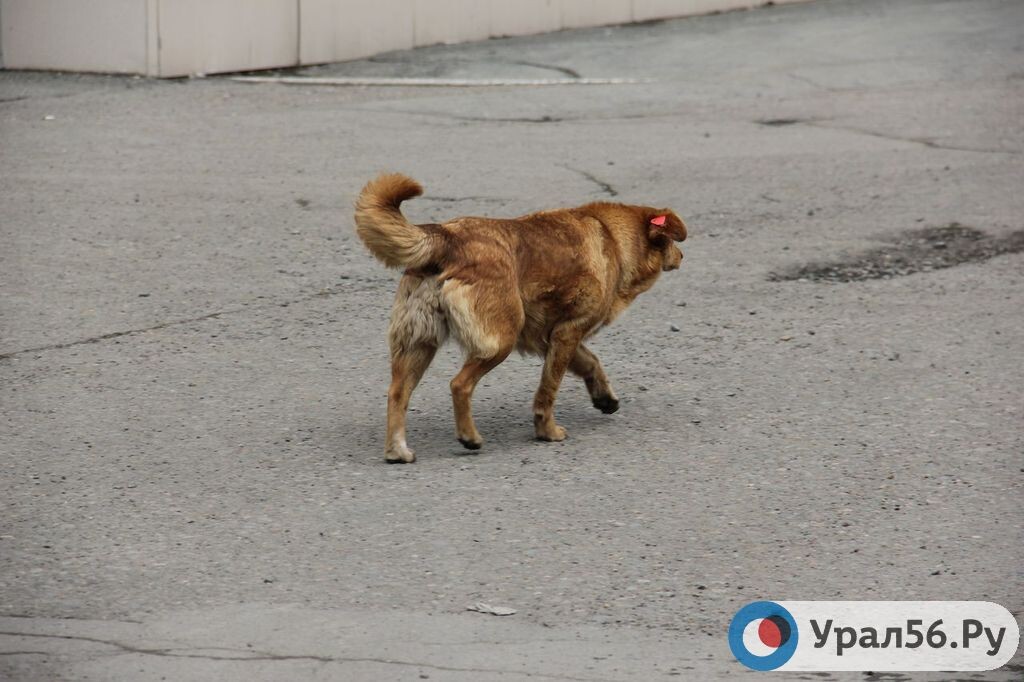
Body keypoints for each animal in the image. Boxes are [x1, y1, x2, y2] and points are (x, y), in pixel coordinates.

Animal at [354, 173, 688, 462]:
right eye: (674, 242)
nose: (683, 257)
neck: (612, 238)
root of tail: (447, 237)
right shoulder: (567, 333)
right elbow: (548, 390)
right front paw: (547, 430)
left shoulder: (553, 337)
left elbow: (591, 363)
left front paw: (604, 397)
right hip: (498, 341)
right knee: (459, 384)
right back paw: (469, 436)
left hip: (417, 345)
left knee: (397, 393)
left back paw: (397, 450)